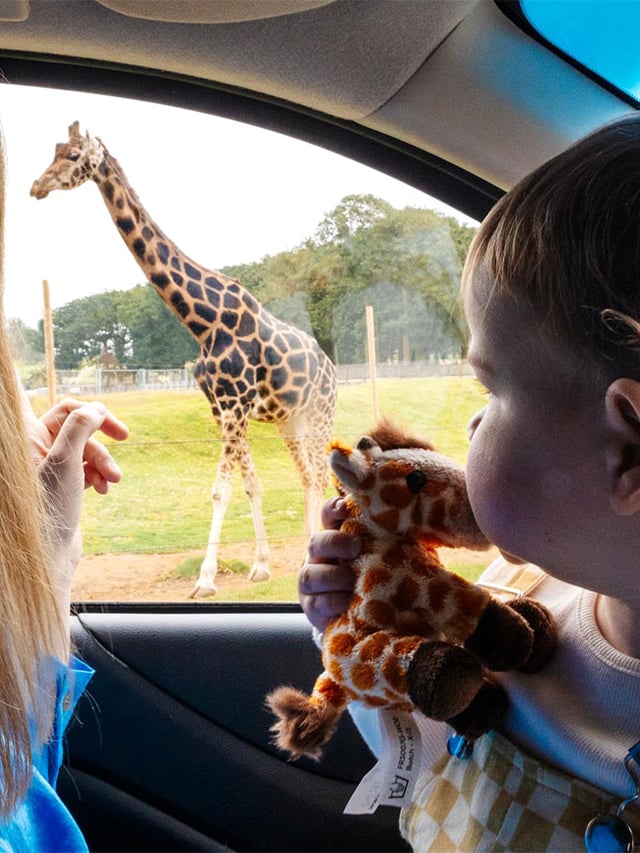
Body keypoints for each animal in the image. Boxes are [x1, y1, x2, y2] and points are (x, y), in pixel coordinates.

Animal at [31, 121, 338, 597]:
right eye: (55, 150)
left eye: (73, 156)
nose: (36, 186)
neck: (204, 323)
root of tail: (332, 368)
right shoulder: (222, 408)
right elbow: (250, 483)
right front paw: (260, 567)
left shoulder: (235, 405)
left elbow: (220, 490)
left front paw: (206, 580)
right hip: (290, 420)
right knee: (308, 474)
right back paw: (307, 551)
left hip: (321, 414)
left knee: (321, 473)